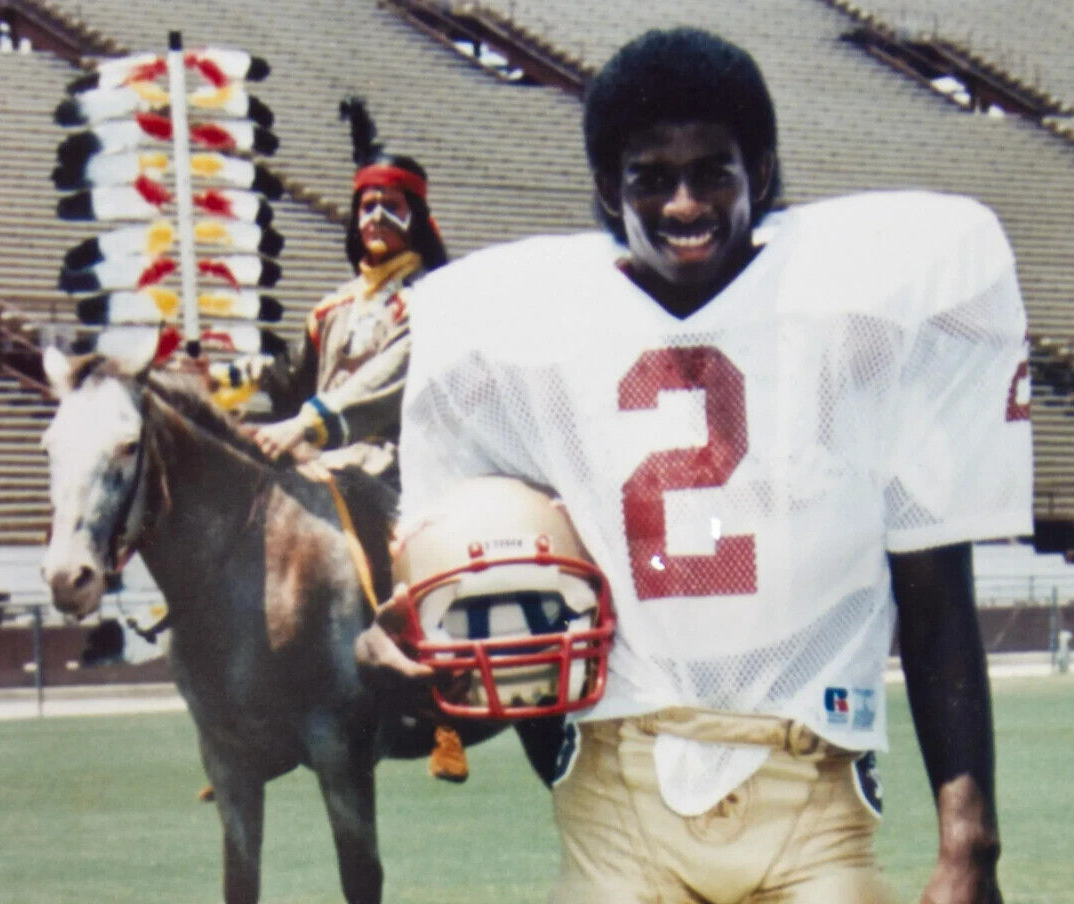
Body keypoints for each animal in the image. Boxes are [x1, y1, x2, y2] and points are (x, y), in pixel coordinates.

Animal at [36, 347, 498, 901]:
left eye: (128, 446)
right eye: (49, 447)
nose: (68, 577)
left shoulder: (342, 757)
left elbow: (360, 876)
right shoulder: (229, 763)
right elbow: (240, 878)